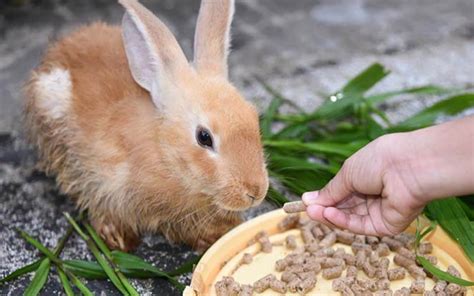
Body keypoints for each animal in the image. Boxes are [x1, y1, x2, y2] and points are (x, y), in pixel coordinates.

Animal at [25, 0, 270, 252]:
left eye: (254, 116)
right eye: (204, 137)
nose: (255, 192)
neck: (164, 152)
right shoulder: (101, 181)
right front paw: (119, 240)